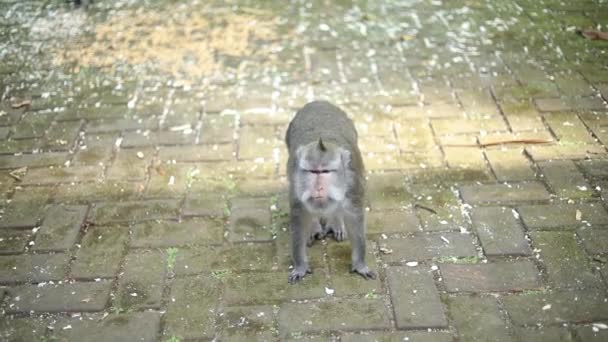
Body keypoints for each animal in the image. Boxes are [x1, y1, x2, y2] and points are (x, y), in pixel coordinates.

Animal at [284, 101, 376, 284]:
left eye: (325, 172)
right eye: (313, 172)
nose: (318, 187)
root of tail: (319, 102)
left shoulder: (353, 187)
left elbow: (355, 221)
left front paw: (360, 265)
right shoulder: (297, 188)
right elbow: (299, 219)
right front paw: (300, 266)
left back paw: (336, 221)